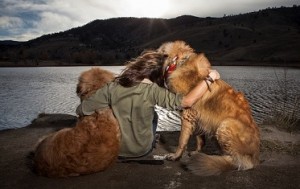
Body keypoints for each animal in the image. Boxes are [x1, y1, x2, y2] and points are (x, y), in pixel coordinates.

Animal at [158, 40, 258, 176]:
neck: (181, 62)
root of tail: (254, 157)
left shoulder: (187, 115)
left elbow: (181, 141)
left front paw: (175, 156)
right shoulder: (198, 116)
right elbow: (200, 138)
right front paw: (197, 152)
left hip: (225, 125)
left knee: (236, 161)